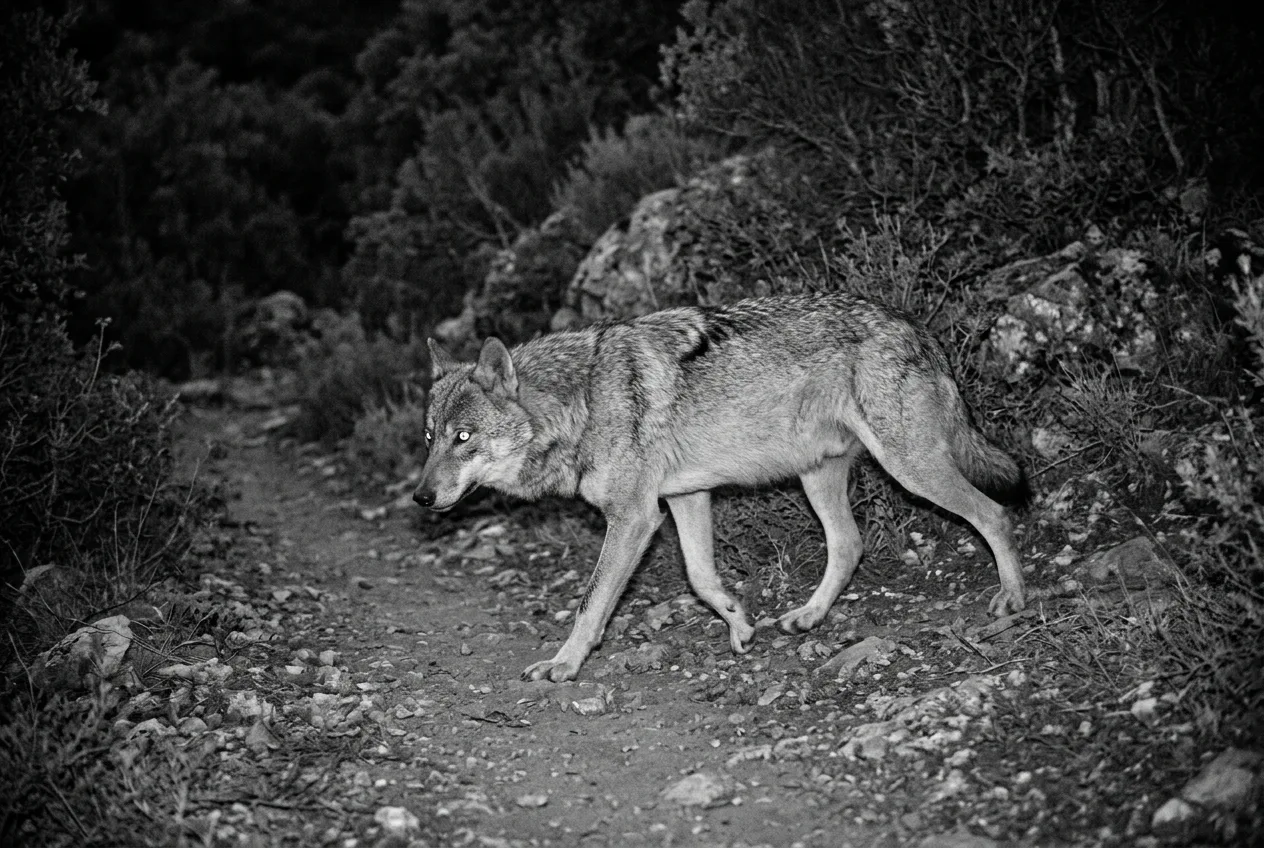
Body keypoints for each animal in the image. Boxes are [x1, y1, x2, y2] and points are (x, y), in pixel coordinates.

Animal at [416, 292, 1028, 682]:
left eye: (463, 437)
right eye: (428, 437)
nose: (421, 498)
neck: (581, 400)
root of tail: (917, 326)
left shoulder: (635, 517)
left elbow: (591, 604)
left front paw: (563, 664)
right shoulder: (683, 499)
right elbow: (701, 578)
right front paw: (738, 622)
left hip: (910, 467)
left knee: (995, 514)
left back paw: (1013, 598)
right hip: (819, 476)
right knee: (849, 543)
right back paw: (808, 616)